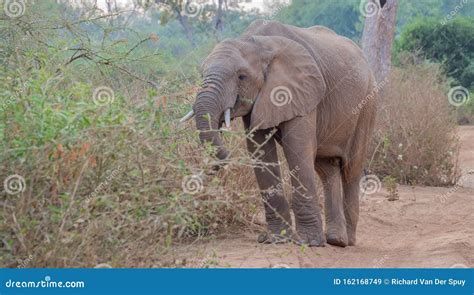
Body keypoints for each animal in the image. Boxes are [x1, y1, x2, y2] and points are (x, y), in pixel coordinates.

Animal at [181, 20, 378, 247]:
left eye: (241, 76)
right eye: (201, 75)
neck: (257, 43)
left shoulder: (301, 90)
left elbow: (297, 149)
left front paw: (308, 242)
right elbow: (259, 151)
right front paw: (276, 239)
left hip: (367, 104)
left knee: (351, 169)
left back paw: (347, 241)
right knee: (326, 169)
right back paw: (335, 239)